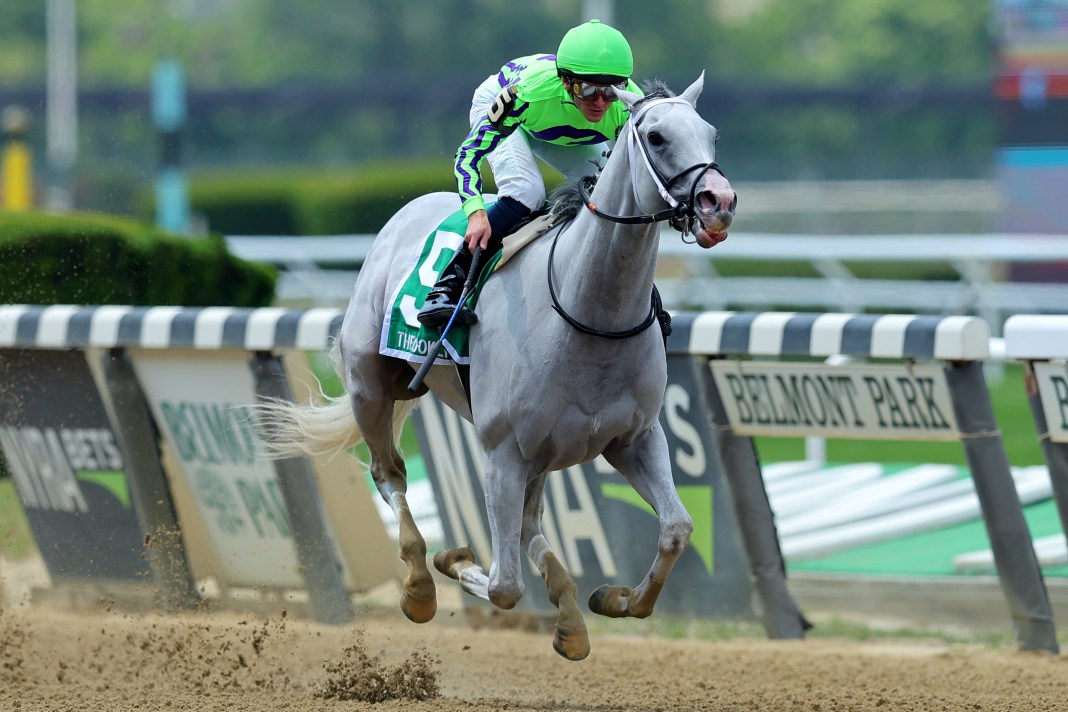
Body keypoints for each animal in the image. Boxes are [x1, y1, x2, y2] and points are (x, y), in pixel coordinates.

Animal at [262, 73, 739, 661]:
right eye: (655, 137)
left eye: (711, 134)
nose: (719, 202)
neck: (588, 310)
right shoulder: (501, 451)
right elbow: (502, 585)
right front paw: (453, 560)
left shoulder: (634, 438)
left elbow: (677, 529)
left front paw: (615, 598)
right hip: (370, 387)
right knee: (390, 475)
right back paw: (420, 583)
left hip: (543, 450)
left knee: (531, 523)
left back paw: (568, 611)